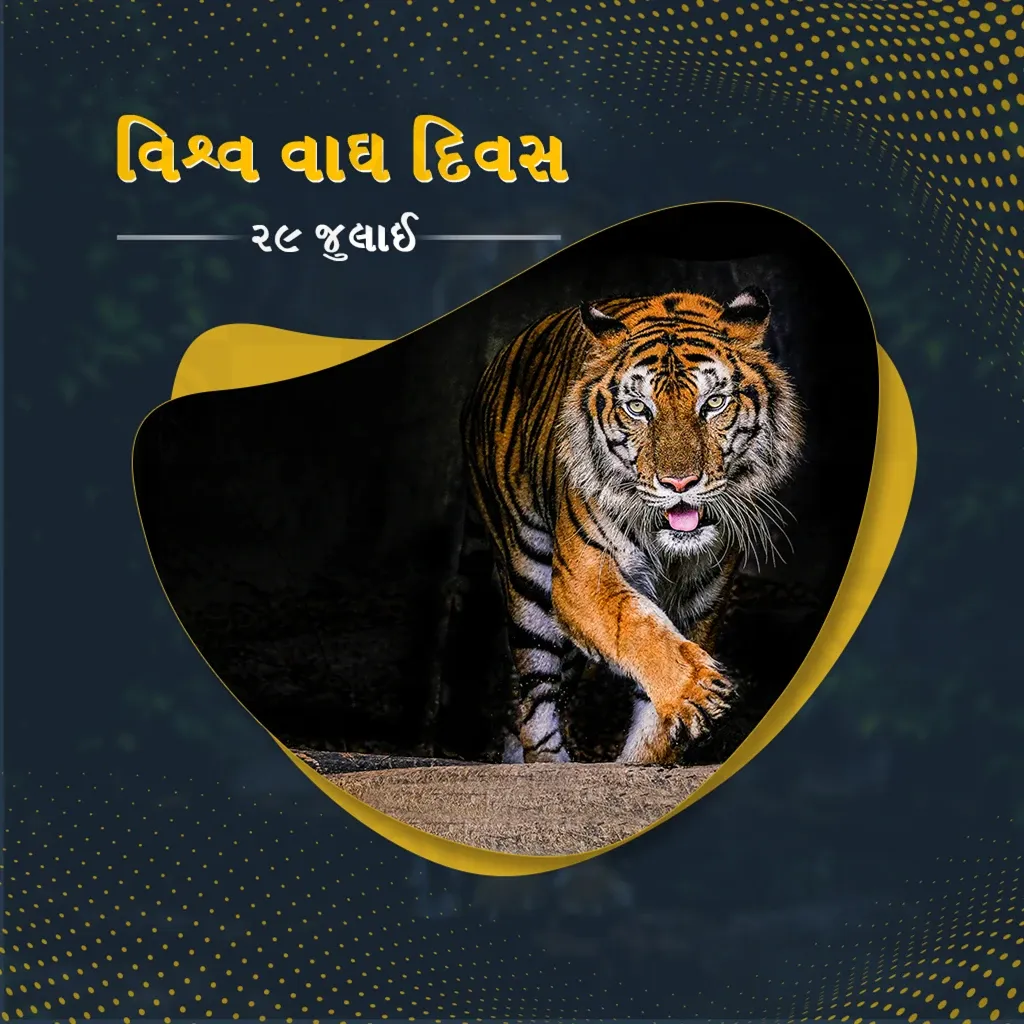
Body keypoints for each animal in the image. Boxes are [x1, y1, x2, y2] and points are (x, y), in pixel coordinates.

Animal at [461, 286, 804, 765]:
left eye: (713, 403)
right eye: (639, 408)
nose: (679, 483)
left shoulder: (703, 597)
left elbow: (655, 707)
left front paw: (647, 756)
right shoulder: (582, 576)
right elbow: (638, 626)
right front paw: (697, 692)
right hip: (530, 582)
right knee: (535, 697)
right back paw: (548, 762)